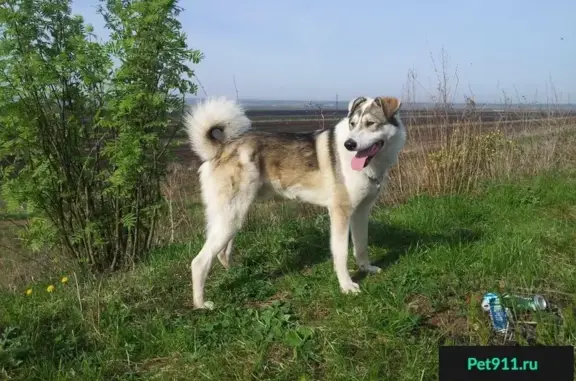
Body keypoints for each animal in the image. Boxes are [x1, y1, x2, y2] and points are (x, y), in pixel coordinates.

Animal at [183, 95, 404, 308]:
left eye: (370, 123)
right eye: (352, 124)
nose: (349, 145)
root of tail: (221, 149)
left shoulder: (361, 212)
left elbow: (361, 245)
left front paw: (366, 269)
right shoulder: (340, 213)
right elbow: (341, 253)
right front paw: (347, 286)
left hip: (232, 218)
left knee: (222, 253)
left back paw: (237, 273)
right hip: (231, 218)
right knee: (199, 262)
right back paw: (201, 304)